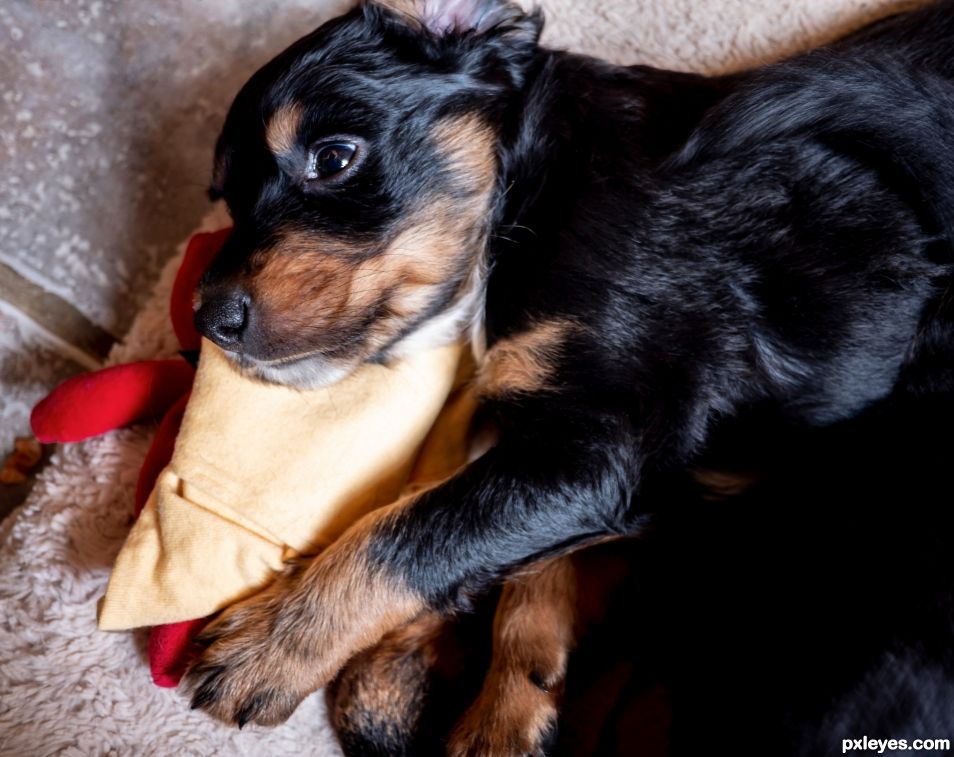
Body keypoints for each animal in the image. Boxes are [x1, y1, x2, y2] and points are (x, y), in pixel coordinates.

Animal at [184, 0, 952, 748]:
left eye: (334, 158)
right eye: (225, 199)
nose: (208, 319)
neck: (531, 195)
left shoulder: (597, 447)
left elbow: (422, 525)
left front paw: (272, 644)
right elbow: (516, 555)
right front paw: (470, 699)